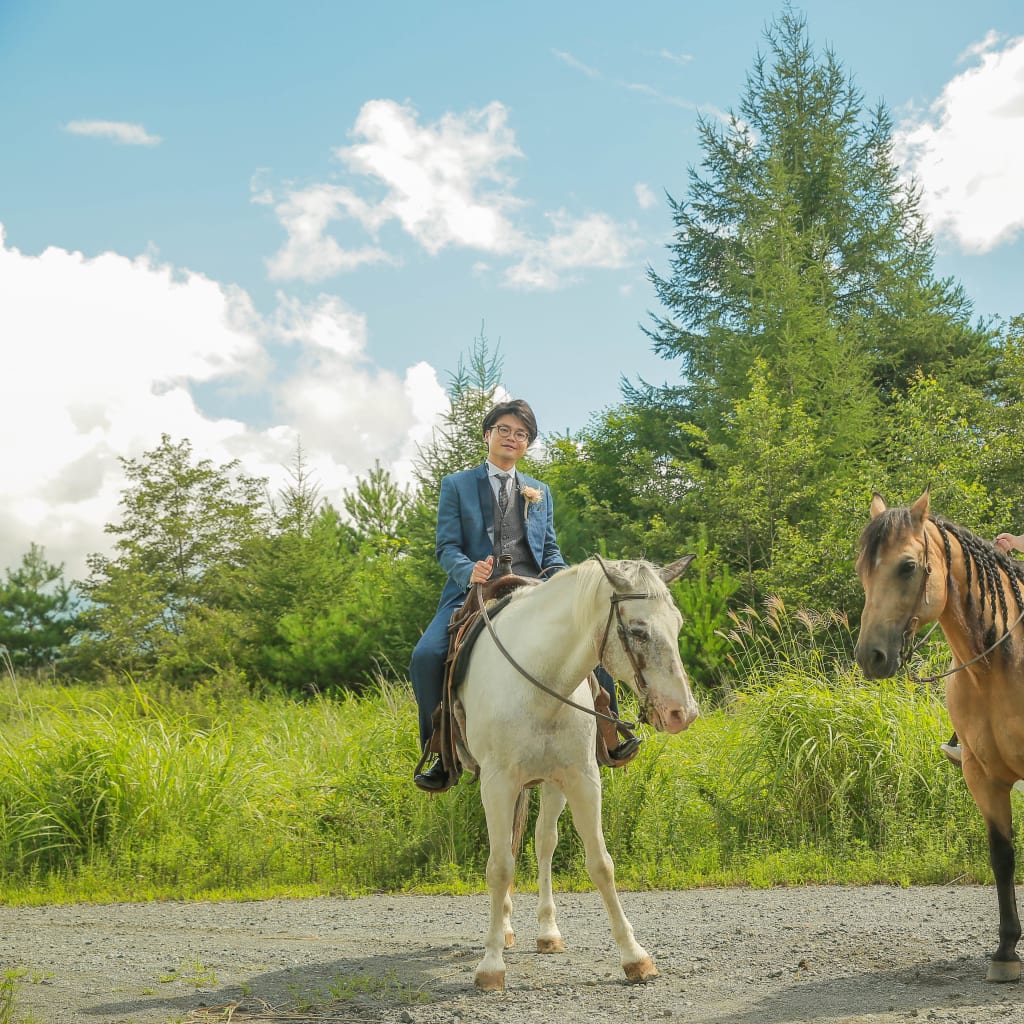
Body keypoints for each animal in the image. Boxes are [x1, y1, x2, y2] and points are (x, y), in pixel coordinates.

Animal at [456, 557, 704, 987]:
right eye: (638, 630)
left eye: (678, 623)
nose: (682, 713)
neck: (537, 681)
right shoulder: (496, 784)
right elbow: (499, 867)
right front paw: (491, 965)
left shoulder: (582, 780)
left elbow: (601, 864)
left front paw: (635, 957)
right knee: (508, 849)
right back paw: (504, 931)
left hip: (551, 785)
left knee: (542, 842)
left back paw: (546, 933)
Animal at [851, 489, 1024, 983]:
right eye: (862, 568)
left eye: (907, 566)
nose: (871, 657)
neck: (999, 667)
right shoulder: (982, 777)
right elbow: (1002, 857)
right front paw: (1006, 952)